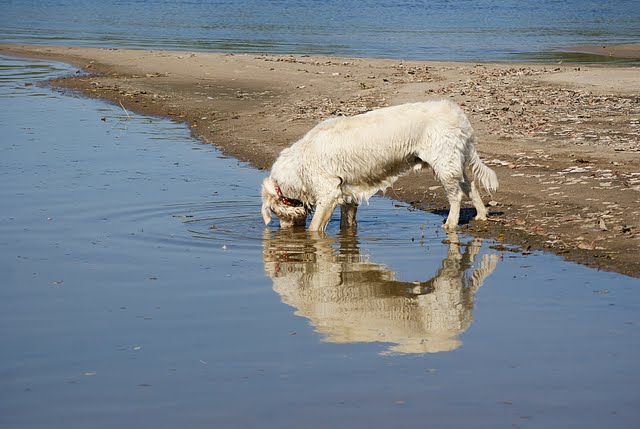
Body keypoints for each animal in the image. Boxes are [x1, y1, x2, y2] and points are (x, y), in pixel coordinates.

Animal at [261, 100, 498, 232]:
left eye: (277, 213)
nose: (285, 231)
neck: (299, 167)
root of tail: (459, 114)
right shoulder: (348, 190)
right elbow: (348, 221)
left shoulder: (328, 193)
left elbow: (314, 228)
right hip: (452, 159)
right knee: (470, 185)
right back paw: (481, 215)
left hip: (443, 161)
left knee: (456, 194)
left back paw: (451, 223)